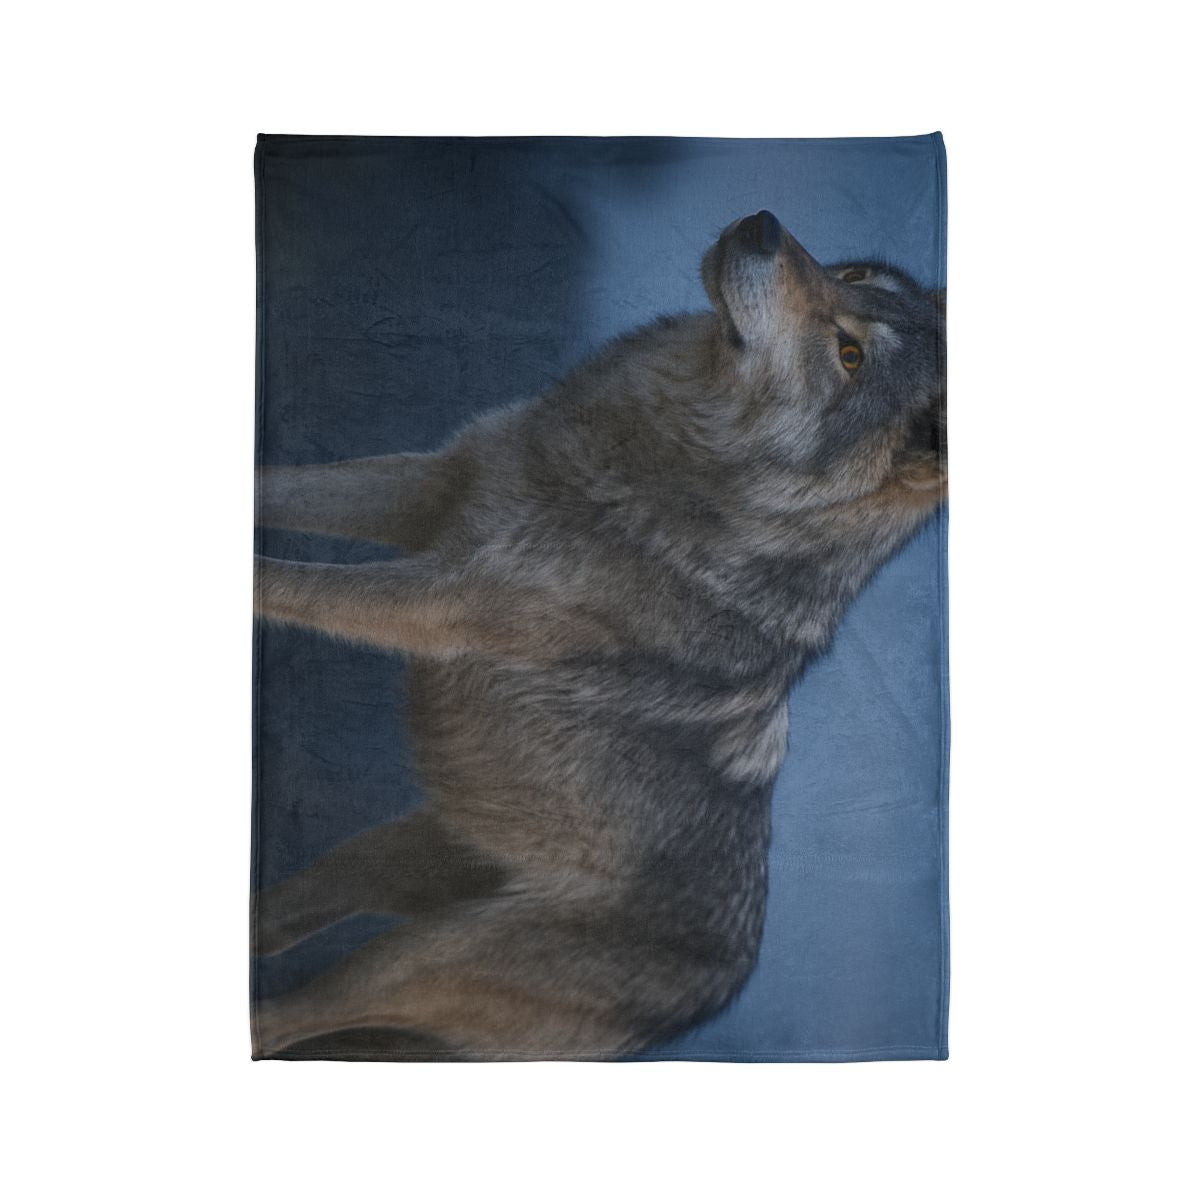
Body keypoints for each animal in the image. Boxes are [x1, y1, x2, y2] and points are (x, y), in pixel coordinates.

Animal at [252, 210, 946, 1060]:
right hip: (383, 861)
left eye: (851, 356)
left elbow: (297, 584)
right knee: (276, 937)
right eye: (849, 281)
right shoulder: (434, 486)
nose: (762, 224)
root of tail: (695, 1008)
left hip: (406, 957)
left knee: (277, 1017)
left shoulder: (445, 597)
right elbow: (275, 487)